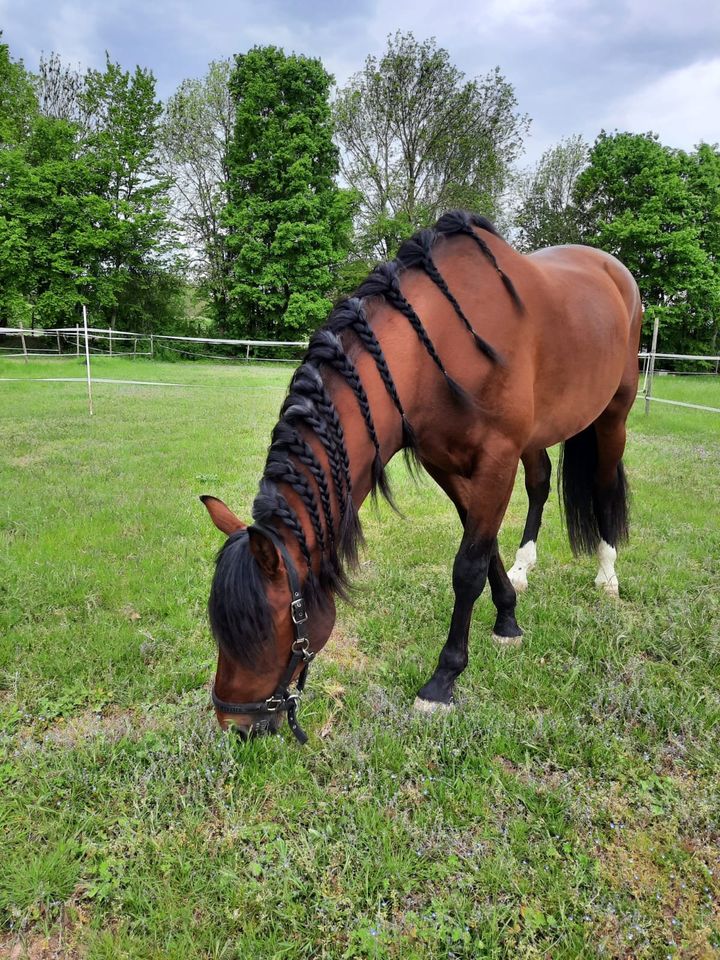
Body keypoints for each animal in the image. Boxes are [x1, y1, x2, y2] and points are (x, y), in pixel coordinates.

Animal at [201, 212, 640, 744]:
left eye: (263, 630)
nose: (234, 725)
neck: (434, 350)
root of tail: (614, 269)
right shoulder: (446, 464)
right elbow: (483, 545)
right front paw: (508, 616)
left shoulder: (495, 461)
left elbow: (467, 567)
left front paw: (443, 680)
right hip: (538, 436)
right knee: (539, 483)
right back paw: (525, 565)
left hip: (614, 415)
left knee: (602, 487)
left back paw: (607, 574)